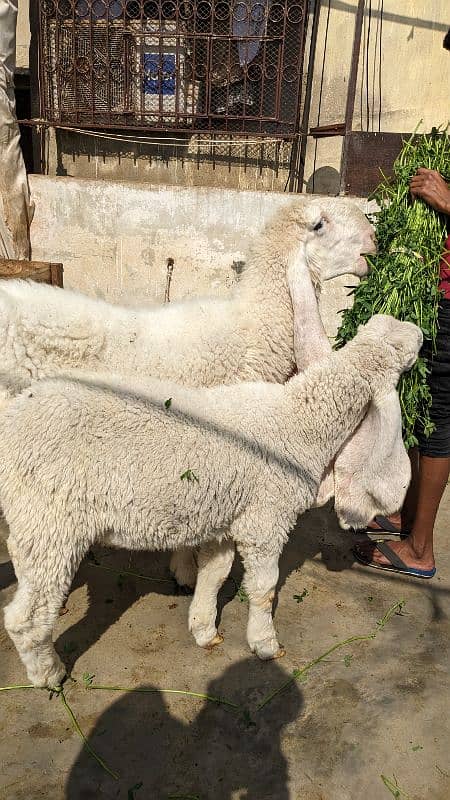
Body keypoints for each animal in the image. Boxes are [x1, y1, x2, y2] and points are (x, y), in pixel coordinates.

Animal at [0, 314, 422, 688]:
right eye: (402, 345)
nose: (420, 332)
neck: (298, 422)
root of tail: (14, 418)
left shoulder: (224, 515)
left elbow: (214, 574)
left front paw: (204, 629)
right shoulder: (266, 518)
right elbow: (265, 586)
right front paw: (265, 643)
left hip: (30, 522)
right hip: (51, 522)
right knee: (25, 618)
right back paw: (48, 675)